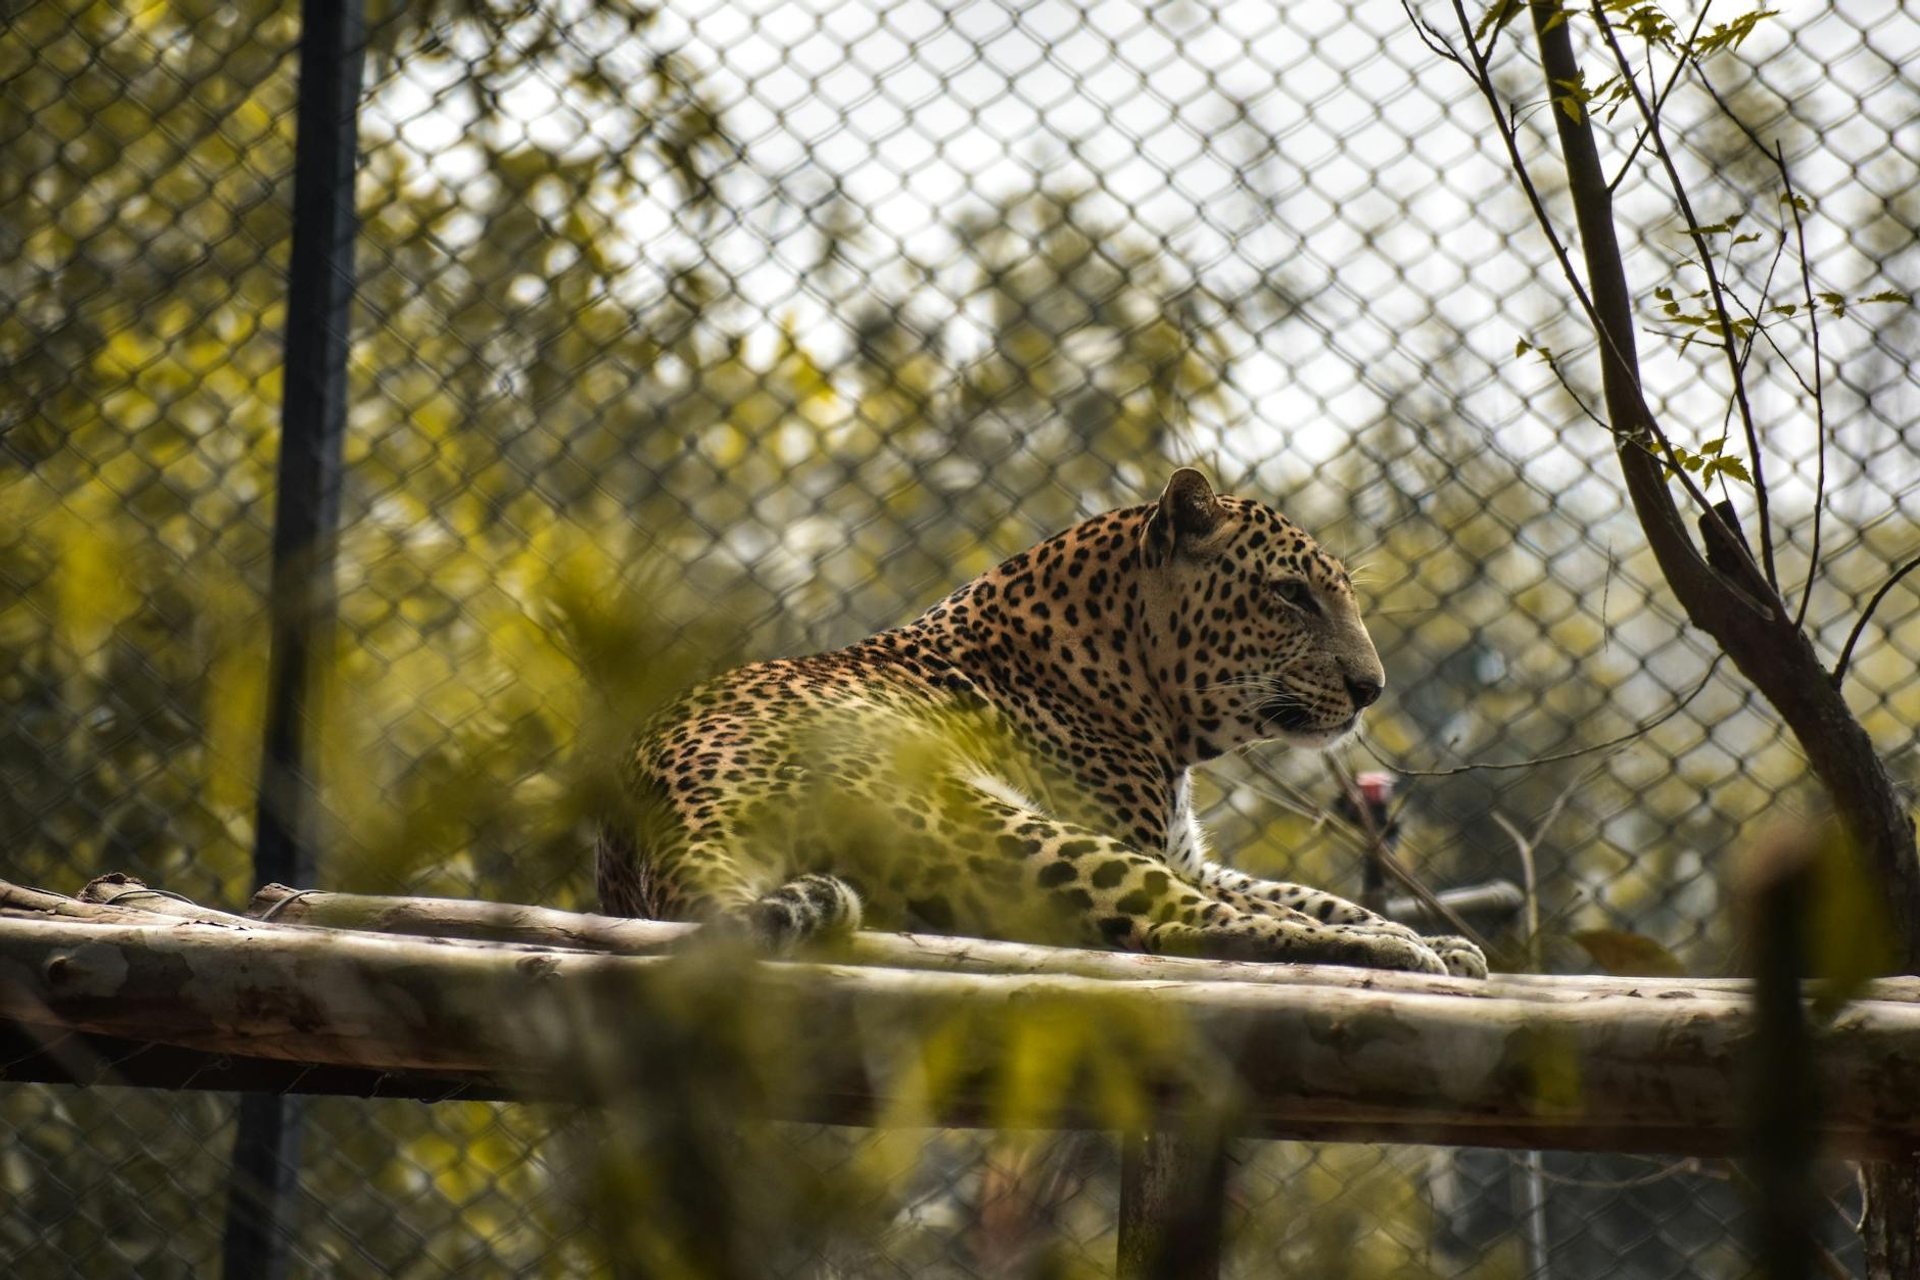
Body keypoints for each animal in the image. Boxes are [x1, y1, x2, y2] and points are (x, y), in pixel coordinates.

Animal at [598, 468, 1487, 979]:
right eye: (1290, 595)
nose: (1371, 688)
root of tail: (668, 814)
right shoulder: (1140, 842)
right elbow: (1285, 907)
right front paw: (1416, 942)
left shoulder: (1186, 853)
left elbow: (1315, 894)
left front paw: (1451, 942)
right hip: (991, 819)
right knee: (1169, 931)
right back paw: (1395, 955)